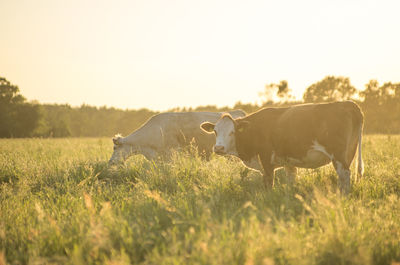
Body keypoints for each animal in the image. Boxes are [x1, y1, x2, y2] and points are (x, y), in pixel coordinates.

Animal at [202, 100, 364, 193]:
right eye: (215, 131)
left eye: (232, 132)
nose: (218, 148)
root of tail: (349, 104)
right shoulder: (289, 162)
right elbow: (291, 180)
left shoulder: (266, 160)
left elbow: (268, 183)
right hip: (349, 153)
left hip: (338, 156)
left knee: (344, 175)